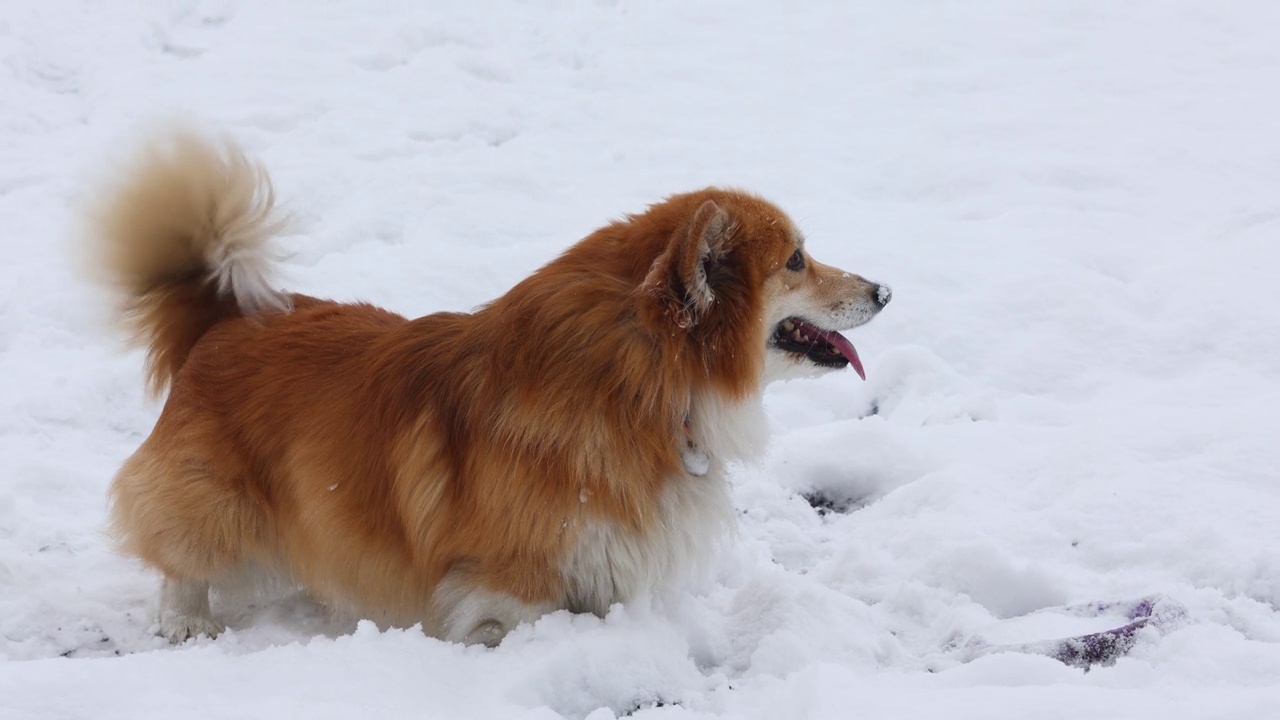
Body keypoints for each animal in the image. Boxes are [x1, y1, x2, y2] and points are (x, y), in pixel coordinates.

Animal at [92, 130, 890, 645]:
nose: (885, 290)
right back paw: (187, 618)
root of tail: (222, 315)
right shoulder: (511, 580)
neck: (638, 385)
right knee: (178, 554)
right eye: (796, 260)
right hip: (216, 502)